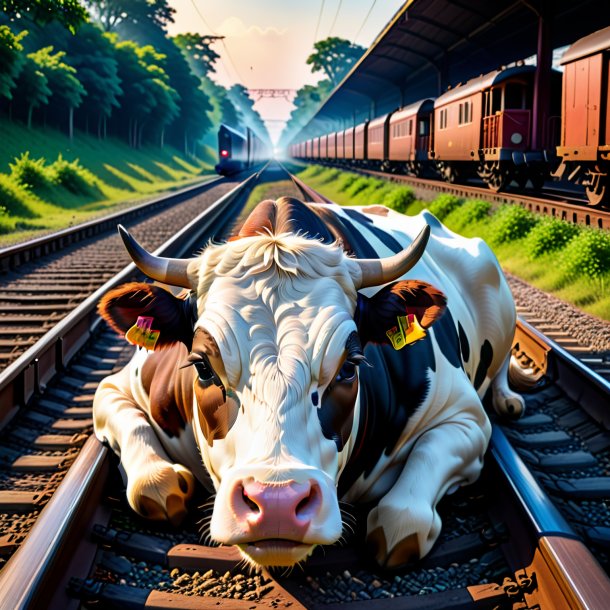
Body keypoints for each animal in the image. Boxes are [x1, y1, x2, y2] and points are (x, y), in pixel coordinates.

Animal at [91, 197, 524, 568]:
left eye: (349, 368)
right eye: (202, 367)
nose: (277, 504)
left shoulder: (467, 418)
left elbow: (401, 520)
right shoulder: (119, 386)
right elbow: (150, 479)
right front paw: (160, 480)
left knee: (503, 359)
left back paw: (508, 398)